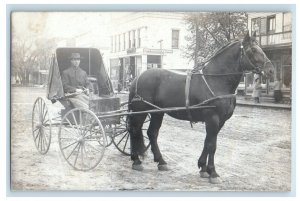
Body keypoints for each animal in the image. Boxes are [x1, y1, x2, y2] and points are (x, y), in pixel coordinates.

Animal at [126, 31, 274, 184]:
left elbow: (207, 142)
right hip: (140, 112)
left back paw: (161, 161)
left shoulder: (220, 121)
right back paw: (136, 160)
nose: (270, 70)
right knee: (134, 130)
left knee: (152, 133)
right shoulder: (212, 118)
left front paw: (203, 168)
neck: (216, 80)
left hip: (157, 112)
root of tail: (137, 78)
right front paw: (213, 172)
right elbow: (212, 145)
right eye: (253, 50)